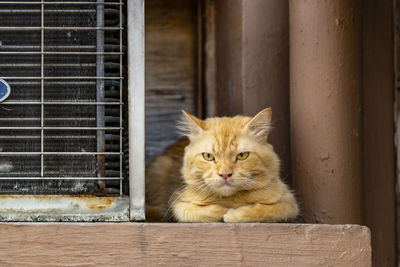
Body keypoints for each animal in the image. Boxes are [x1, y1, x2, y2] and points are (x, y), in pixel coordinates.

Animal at [145, 108, 298, 223]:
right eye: (208, 156)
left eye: (242, 156)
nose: (224, 174)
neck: (229, 199)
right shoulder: (179, 203)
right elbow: (198, 212)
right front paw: (223, 211)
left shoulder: (289, 203)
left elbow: (263, 211)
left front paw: (233, 214)